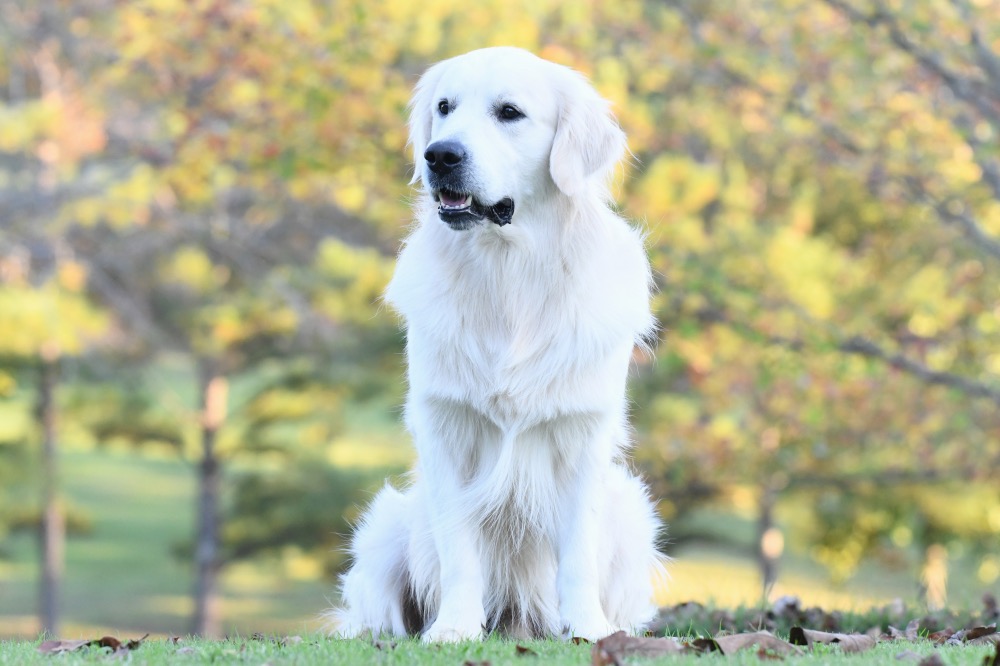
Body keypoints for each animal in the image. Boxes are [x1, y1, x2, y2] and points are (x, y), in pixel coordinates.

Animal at [336, 45, 664, 640]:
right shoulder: (446, 427)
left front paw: (589, 628)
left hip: (632, 510)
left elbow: (578, 549)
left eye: (509, 112)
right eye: (444, 107)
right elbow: (459, 547)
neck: (509, 272)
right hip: (386, 525)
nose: (439, 155)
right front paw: (453, 628)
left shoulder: (583, 432)